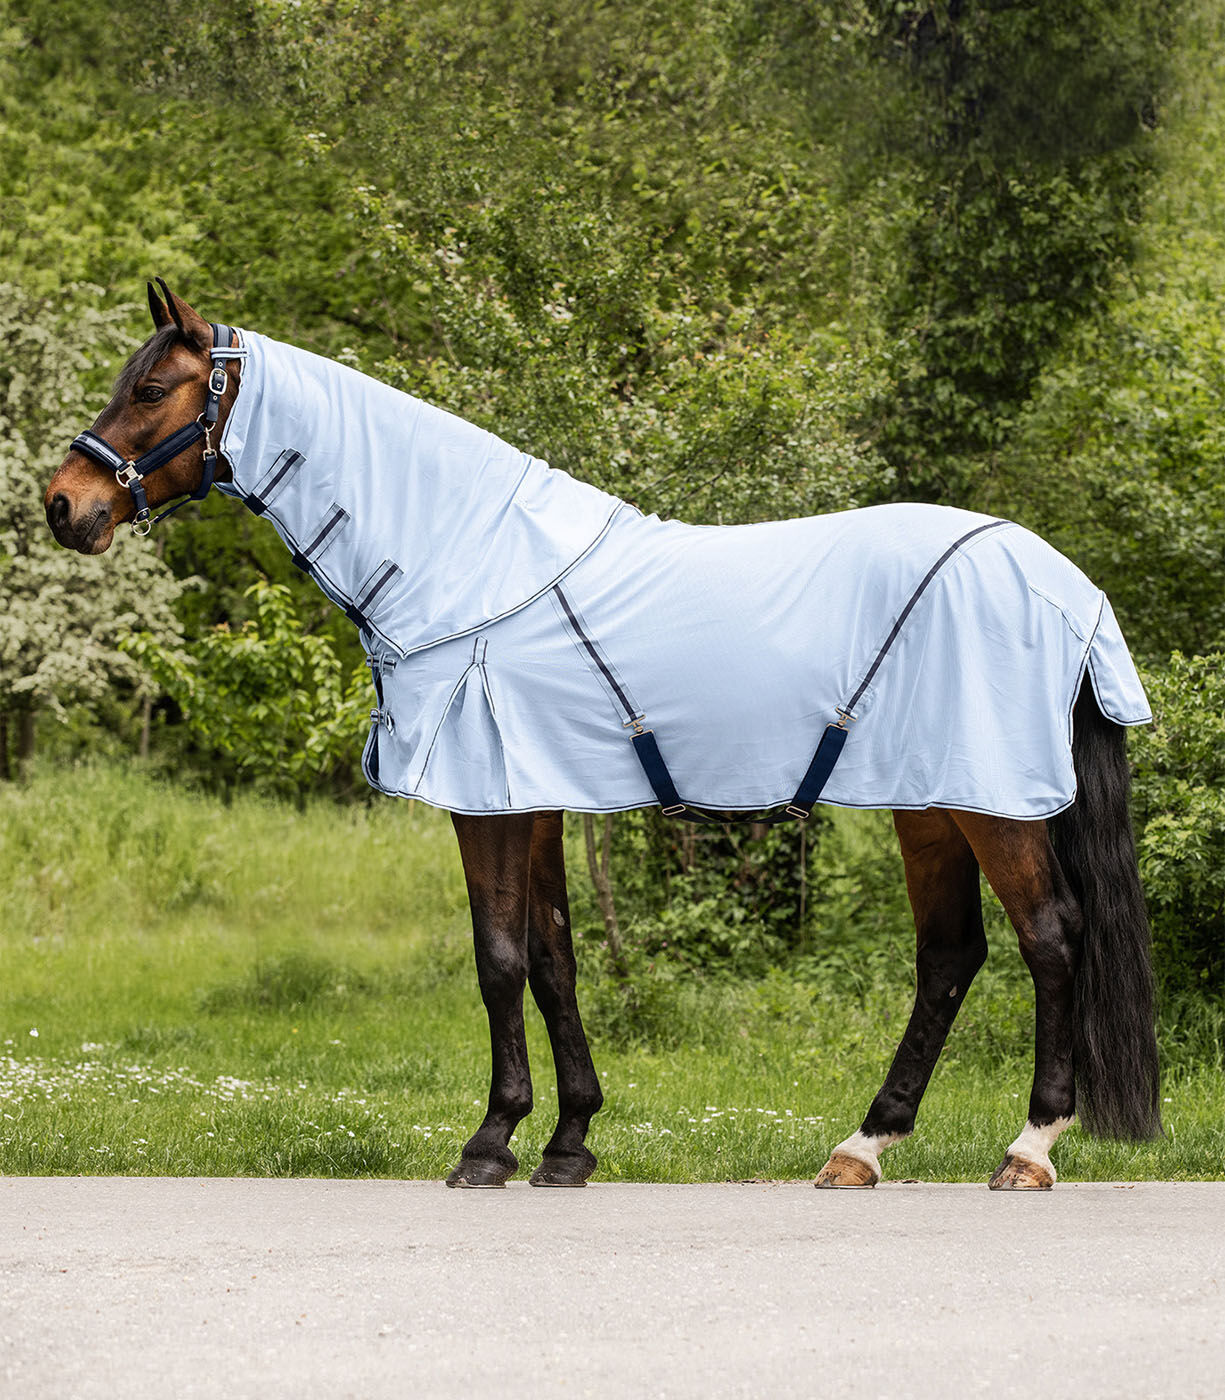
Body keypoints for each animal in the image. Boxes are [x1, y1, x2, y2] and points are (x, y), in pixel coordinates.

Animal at [44, 282, 1162, 1191]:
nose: (65, 505)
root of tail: (1065, 585)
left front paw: (490, 1143)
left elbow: (499, 956)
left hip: (991, 803)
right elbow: (554, 958)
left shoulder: (487, 803)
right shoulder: (533, 798)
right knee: (949, 954)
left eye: (153, 388)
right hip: (930, 799)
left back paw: (1028, 1148)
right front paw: (569, 1142)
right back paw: (862, 1146)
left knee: (1050, 937)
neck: (472, 562)